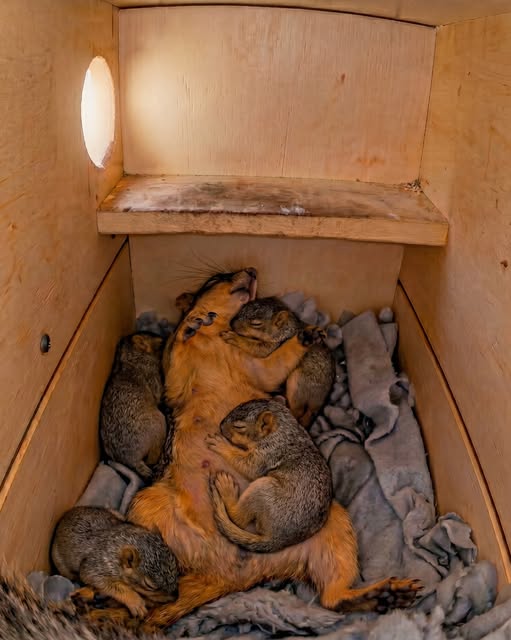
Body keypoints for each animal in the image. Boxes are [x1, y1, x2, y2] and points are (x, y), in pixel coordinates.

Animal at [100, 332, 167, 482]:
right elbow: (158, 393)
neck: (129, 357)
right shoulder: (151, 373)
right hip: (158, 421)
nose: (164, 337)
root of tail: (133, 460)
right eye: (160, 345)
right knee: (152, 456)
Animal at [207, 398, 332, 552]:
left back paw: (227, 488)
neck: (283, 431)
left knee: (238, 518)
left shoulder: (267, 454)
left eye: (239, 426)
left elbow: (249, 468)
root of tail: (280, 539)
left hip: (263, 490)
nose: (220, 426)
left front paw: (221, 445)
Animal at [222, 297, 335, 428]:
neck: (286, 329)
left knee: (298, 411)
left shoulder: (273, 345)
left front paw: (234, 338)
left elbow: (256, 349)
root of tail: (318, 402)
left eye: (256, 323)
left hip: (298, 384)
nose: (231, 323)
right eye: (243, 307)